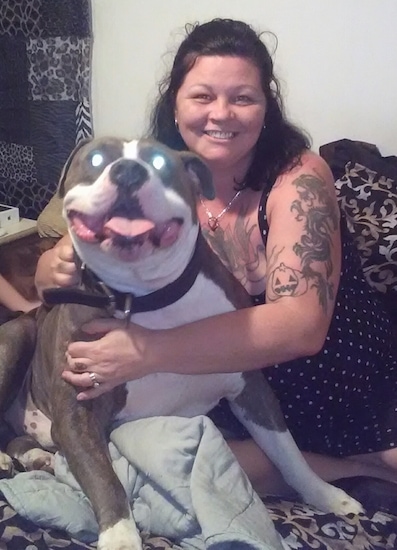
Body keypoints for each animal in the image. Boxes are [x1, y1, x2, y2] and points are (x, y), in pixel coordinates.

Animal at [0, 139, 360, 550]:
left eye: (159, 161)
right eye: (97, 159)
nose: (128, 172)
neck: (145, 298)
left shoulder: (251, 388)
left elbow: (288, 453)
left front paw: (326, 494)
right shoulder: (76, 414)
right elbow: (106, 480)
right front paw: (121, 538)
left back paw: (34, 457)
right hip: (15, 339)